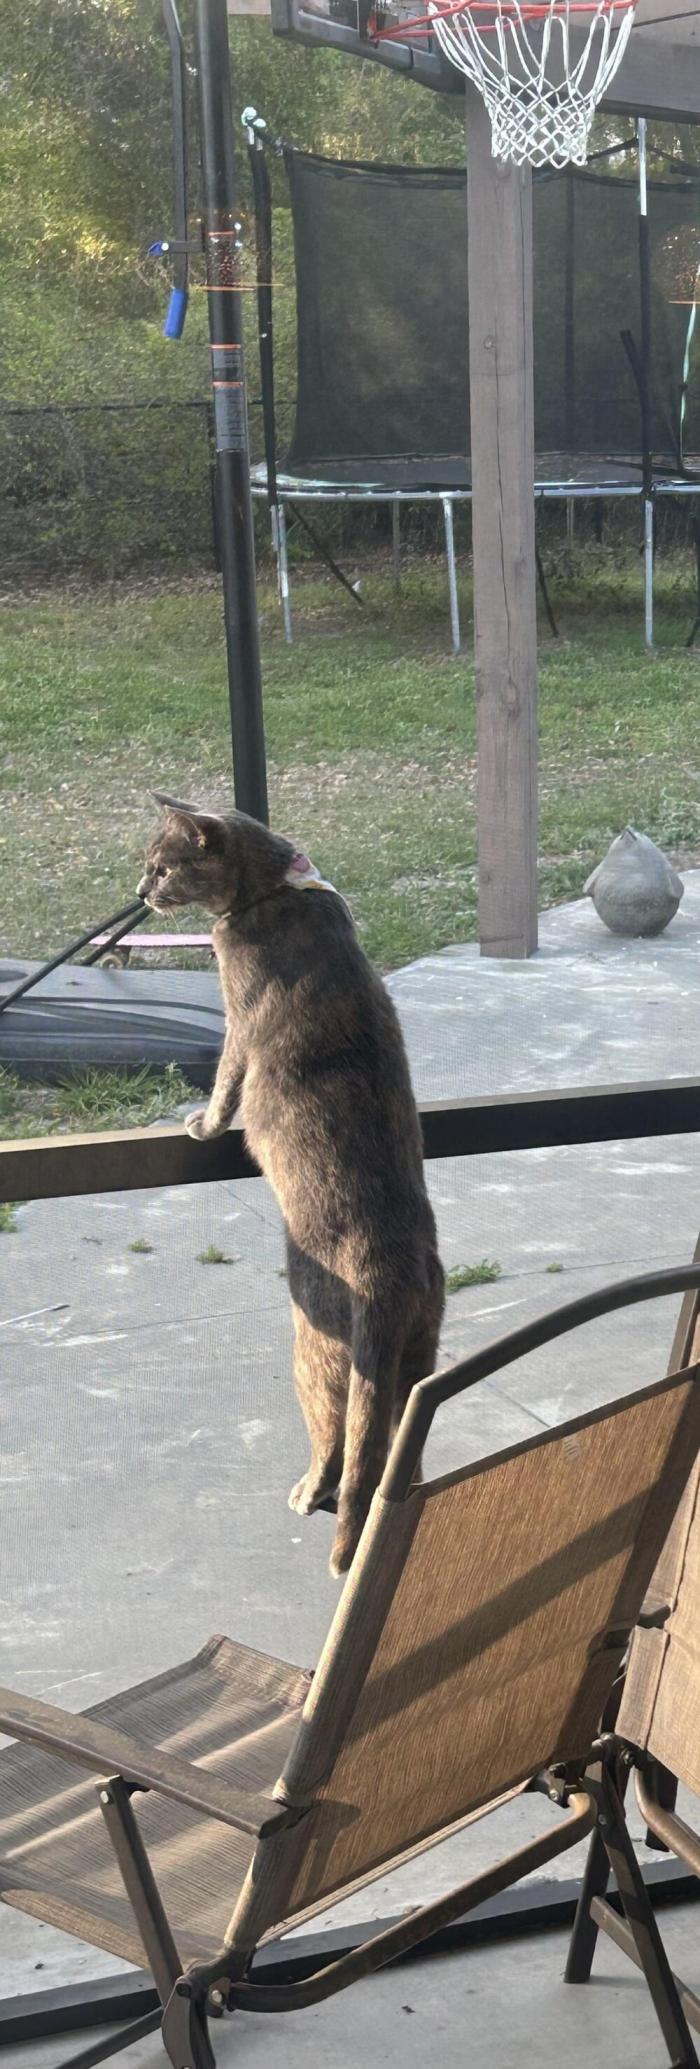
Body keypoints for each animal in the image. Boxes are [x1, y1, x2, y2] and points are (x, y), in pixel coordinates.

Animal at [138, 794, 444, 1576]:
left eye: (164, 866)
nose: (141, 890)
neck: (278, 888)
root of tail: (389, 1268)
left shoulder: (239, 1016)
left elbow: (223, 1081)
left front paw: (201, 1124)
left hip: (313, 1346)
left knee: (336, 1440)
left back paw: (310, 1491)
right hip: (415, 1360)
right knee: (397, 1450)